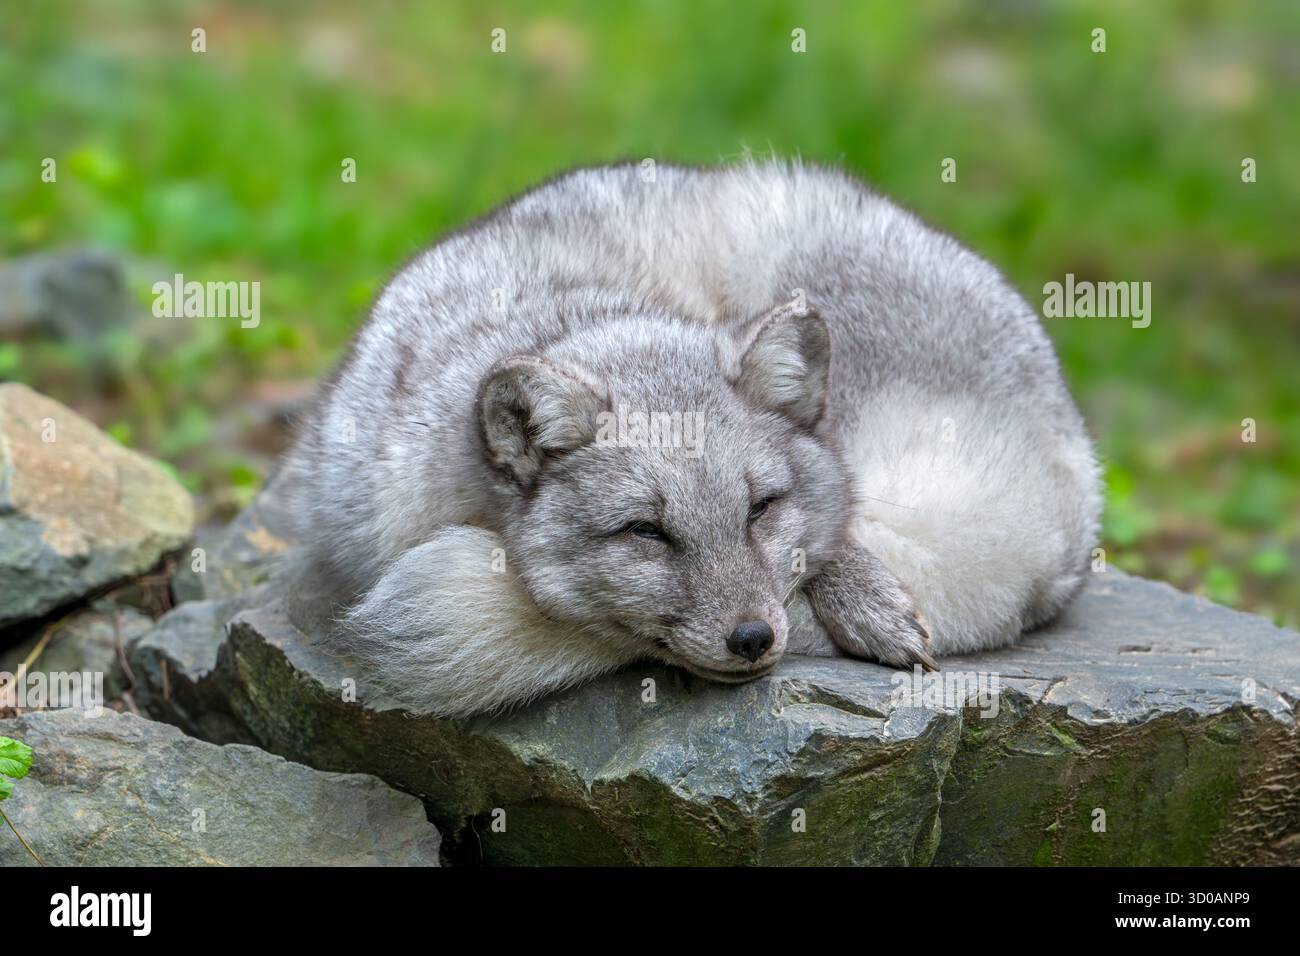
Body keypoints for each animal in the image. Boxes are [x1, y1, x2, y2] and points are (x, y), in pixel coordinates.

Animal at [283, 160, 1101, 718]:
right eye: (645, 532)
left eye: (761, 509)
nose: (753, 639)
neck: (578, 314)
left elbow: (833, 532)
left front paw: (866, 597)